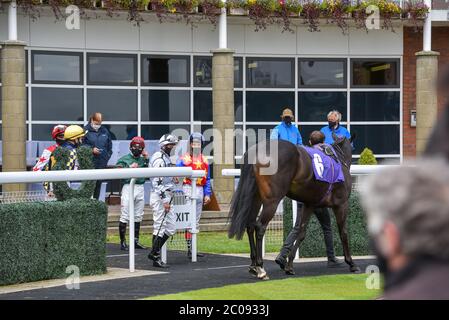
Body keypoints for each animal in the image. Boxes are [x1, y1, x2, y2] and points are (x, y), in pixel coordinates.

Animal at [226, 136, 358, 280]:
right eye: (352, 148)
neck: (338, 158)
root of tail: (255, 152)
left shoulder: (309, 204)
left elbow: (301, 232)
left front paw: (289, 265)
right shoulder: (341, 204)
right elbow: (343, 232)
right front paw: (351, 263)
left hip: (255, 198)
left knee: (250, 225)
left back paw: (253, 266)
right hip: (272, 200)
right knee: (260, 226)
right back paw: (261, 268)